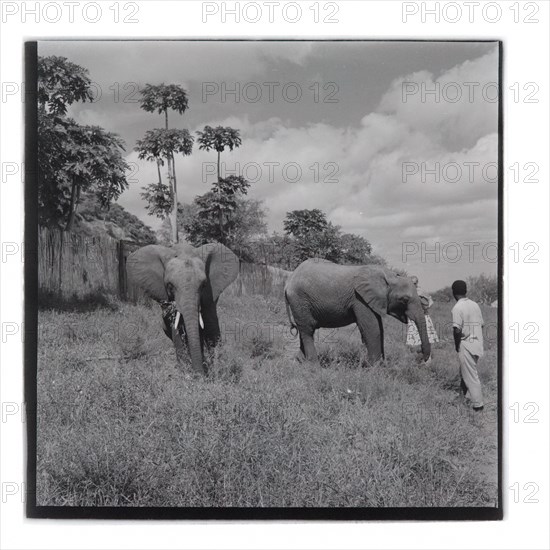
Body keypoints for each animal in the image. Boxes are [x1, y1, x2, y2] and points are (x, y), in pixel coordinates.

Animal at [129, 243, 242, 376]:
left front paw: (215, 368)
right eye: (170, 286)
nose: (199, 375)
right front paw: (186, 372)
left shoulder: (210, 296)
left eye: (203, 285)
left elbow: (210, 325)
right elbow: (177, 329)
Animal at [284, 260, 436, 368]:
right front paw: (375, 369)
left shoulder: (373, 300)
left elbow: (379, 328)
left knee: (304, 330)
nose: (420, 359)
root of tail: (289, 280)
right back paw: (314, 366)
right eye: (404, 300)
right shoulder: (360, 299)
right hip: (299, 300)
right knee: (308, 330)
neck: (389, 276)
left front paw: (382, 365)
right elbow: (372, 329)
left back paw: (300, 362)